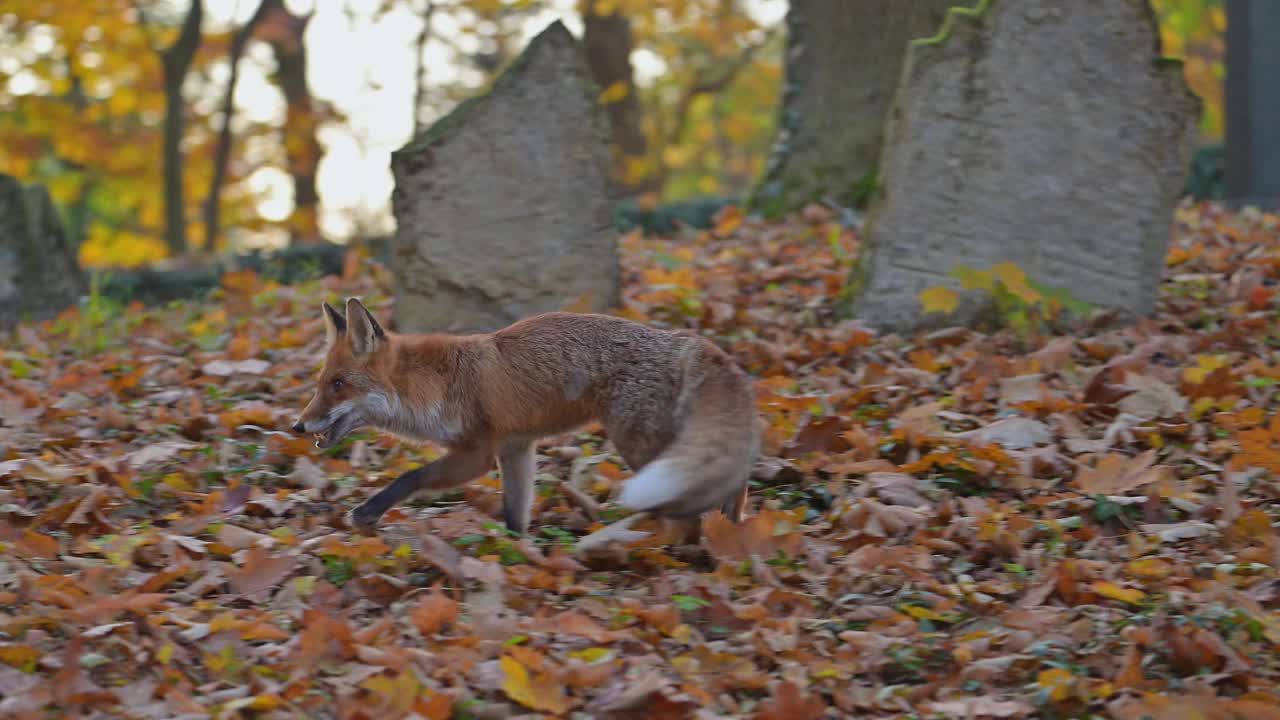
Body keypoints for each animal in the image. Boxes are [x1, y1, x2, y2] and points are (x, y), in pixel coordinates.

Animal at [293, 295, 752, 532]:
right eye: (321, 383)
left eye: (338, 385)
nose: (297, 425)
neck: (434, 385)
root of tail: (682, 338)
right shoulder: (515, 450)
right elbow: (515, 513)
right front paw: (518, 554)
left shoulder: (476, 453)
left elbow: (410, 478)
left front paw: (368, 512)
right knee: (732, 476)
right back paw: (732, 528)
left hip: (638, 445)